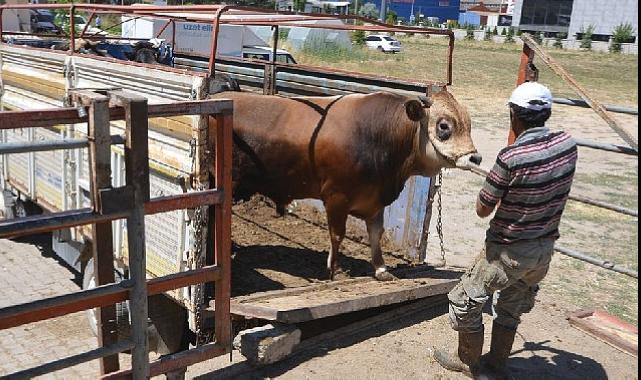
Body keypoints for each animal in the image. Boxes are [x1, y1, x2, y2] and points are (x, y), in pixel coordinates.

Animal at [210, 88, 480, 280]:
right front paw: (336, 270)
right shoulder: (336, 197)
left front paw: (381, 269)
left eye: (468, 123)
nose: (475, 158)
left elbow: (376, 233)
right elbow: (337, 234)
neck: (377, 135)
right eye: (444, 126)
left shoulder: (375, 200)